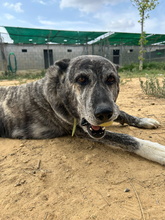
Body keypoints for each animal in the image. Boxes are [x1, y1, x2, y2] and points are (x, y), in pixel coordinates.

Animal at [0, 55, 165, 165]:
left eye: (111, 79)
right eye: (81, 79)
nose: (104, 113)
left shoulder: (111, 109)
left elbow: (122, 113)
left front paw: (143, 120)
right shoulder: (81, 130)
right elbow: (124, 138)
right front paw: (155, 150)